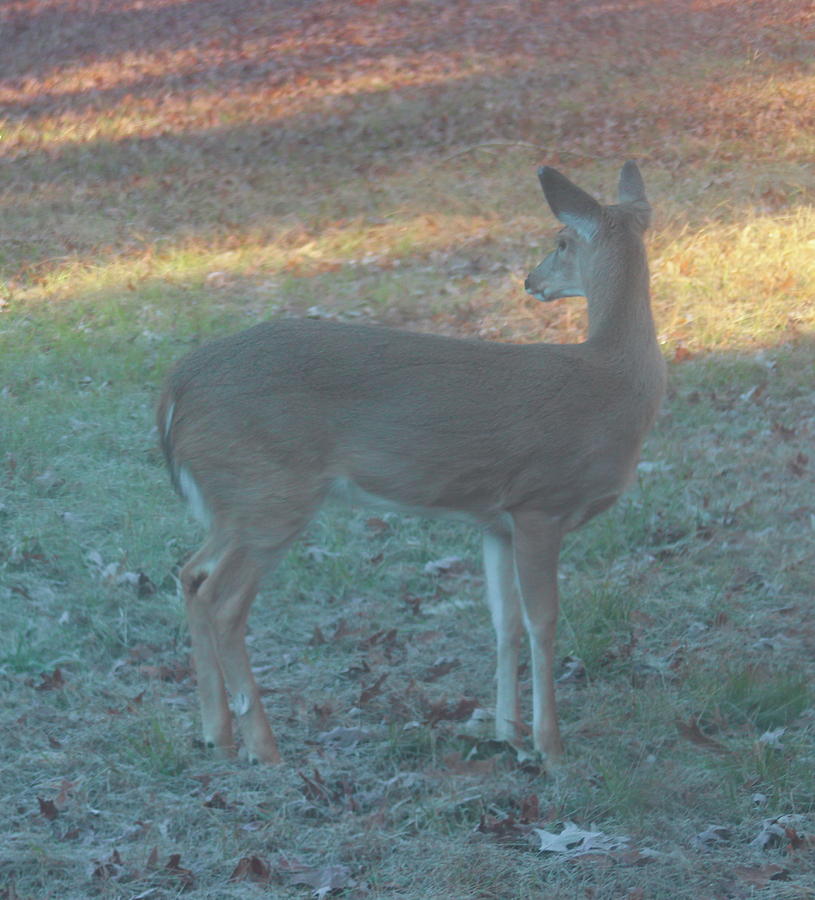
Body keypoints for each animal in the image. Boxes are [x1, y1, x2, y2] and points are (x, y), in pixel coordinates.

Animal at [156, 163, 668, 768]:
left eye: (560, 244)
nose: (530, 280)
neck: (615, 381)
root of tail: (175, 390)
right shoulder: (539, 502)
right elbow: (542, 621)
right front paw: (551, 747)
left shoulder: (496, 520)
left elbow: (504, 621)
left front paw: (508, 733)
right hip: (271, 494)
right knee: (222, 601)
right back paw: (264, 746)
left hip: (237, 500)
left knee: (190, 573)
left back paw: (217, 734)